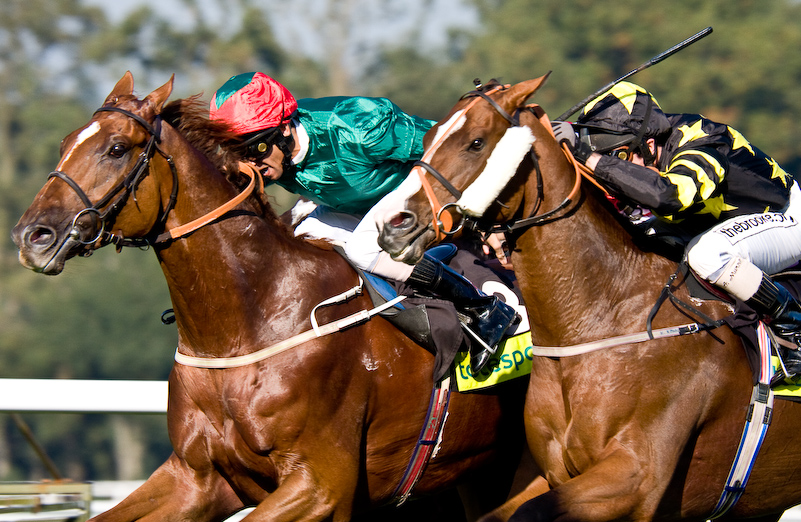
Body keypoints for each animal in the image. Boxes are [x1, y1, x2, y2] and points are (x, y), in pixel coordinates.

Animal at [10, 72, 532, 520]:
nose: (31, 235)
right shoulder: (197, 479)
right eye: (65, 144)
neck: (245, 326)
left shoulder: (320, 486)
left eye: (117, 148)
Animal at [376, 75, 801, 516]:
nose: (392, 223)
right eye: (428, 139)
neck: (600, 316)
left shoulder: (636, 475)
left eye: (476, 142)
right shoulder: (551, 471)